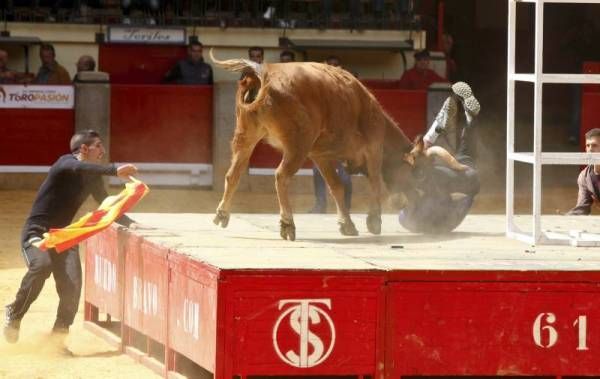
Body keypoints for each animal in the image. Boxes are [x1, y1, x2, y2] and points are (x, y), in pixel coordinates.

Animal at [213, 51, 414, 240]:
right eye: (415, 173)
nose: (405, 203)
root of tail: (265, 74)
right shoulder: (373, 149)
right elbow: (374, 183)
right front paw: (374, 222)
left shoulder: (320, 155)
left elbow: (336, 186)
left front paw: (347, 224)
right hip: (297, 146)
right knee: (281, 176)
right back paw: (288, 224)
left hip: (245, 136)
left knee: (233, 174)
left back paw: (222, 214)